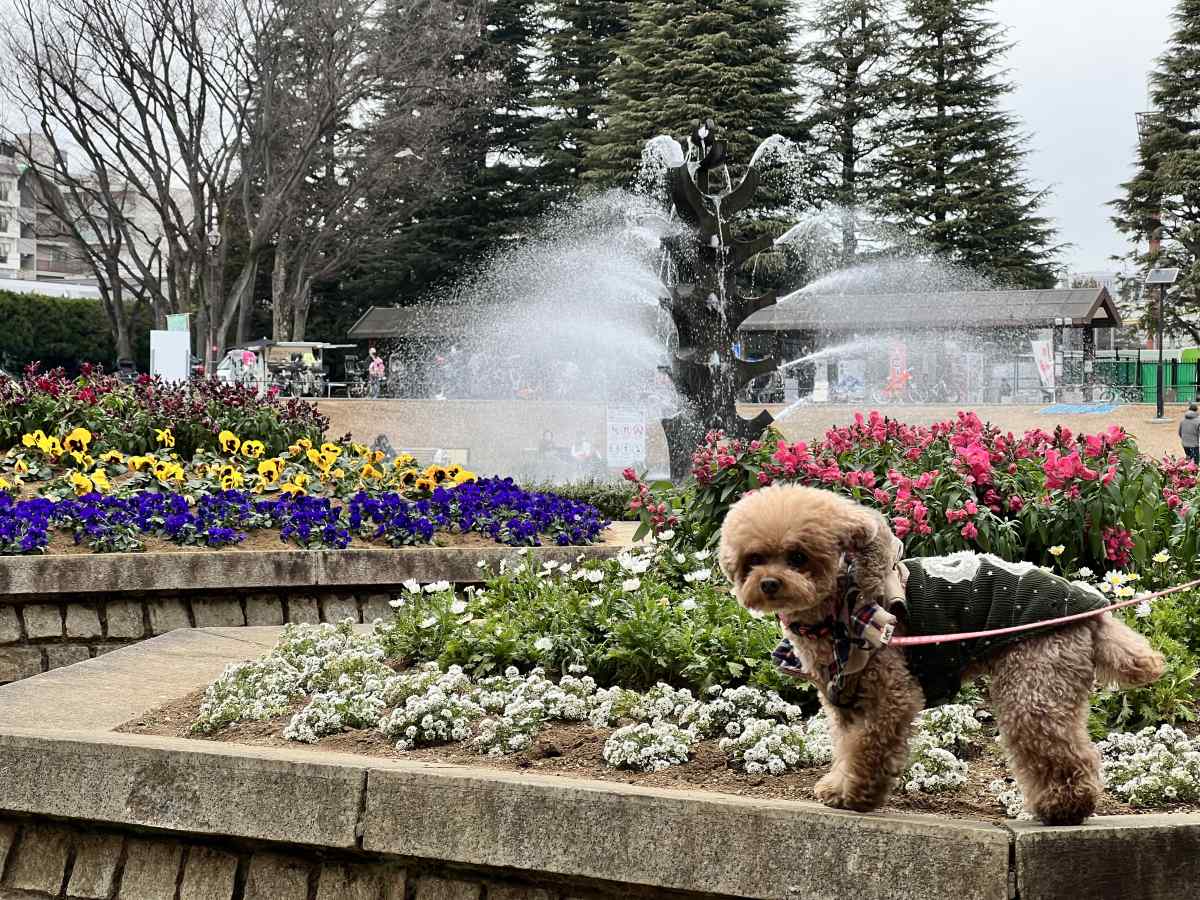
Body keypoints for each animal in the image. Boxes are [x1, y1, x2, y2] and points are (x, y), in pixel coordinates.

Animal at [715, 487, 1166, 825]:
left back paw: (1063, 809)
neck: (838, 612)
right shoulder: (844, 701)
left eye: (797, 557)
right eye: (754, 559)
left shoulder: (891, 696)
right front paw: (838, 787)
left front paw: (856, 796)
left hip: (1035, 679)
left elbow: (868, 748)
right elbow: (847, 746)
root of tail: (1094, 613)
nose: (769, 583)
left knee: (1063, 752)